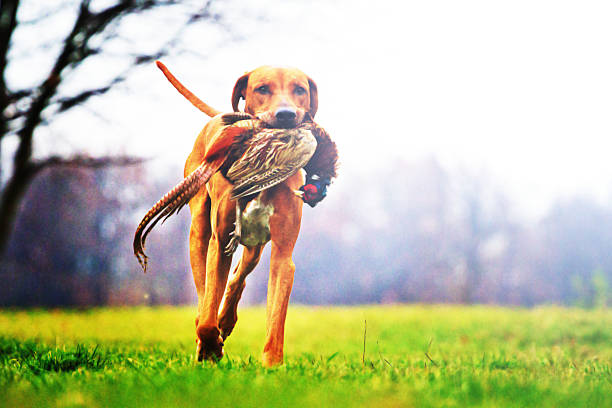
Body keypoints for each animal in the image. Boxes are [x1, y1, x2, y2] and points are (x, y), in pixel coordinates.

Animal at [150, 63, 338, 366]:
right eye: (262, 88)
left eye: (300, 89)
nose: (286, 116)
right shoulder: (219, 242)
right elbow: (208, 309)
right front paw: (210, 347)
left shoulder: (282, 254)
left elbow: (276, 317)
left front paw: (272, 364)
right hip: (200, 231)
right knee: (203, 292)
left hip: (254, 243)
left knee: (238, 275)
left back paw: (226, 319)